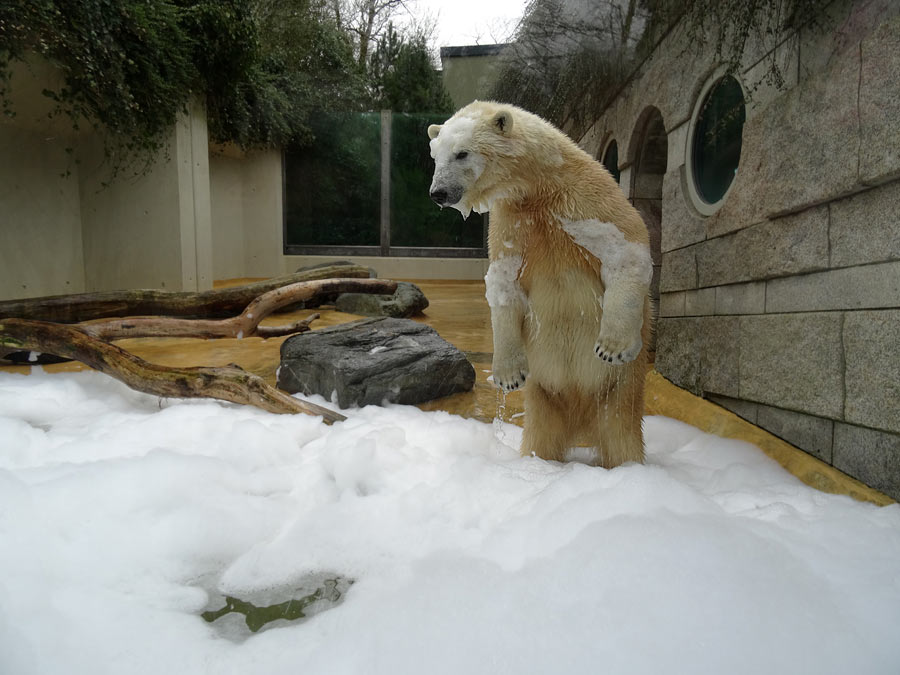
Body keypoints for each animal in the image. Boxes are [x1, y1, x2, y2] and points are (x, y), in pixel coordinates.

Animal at [426, 101, 652, 470]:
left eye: (461, 153)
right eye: (435, 155)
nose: (438, 193)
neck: (541, 187)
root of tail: (581, 421)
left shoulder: (587, 199)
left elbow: (626, 249)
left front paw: (612, 347)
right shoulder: (512, 221)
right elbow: (503, 285)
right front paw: (508, 375)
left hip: (620, 392)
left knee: (621, 437)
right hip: (544, 394)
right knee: (542, 435)